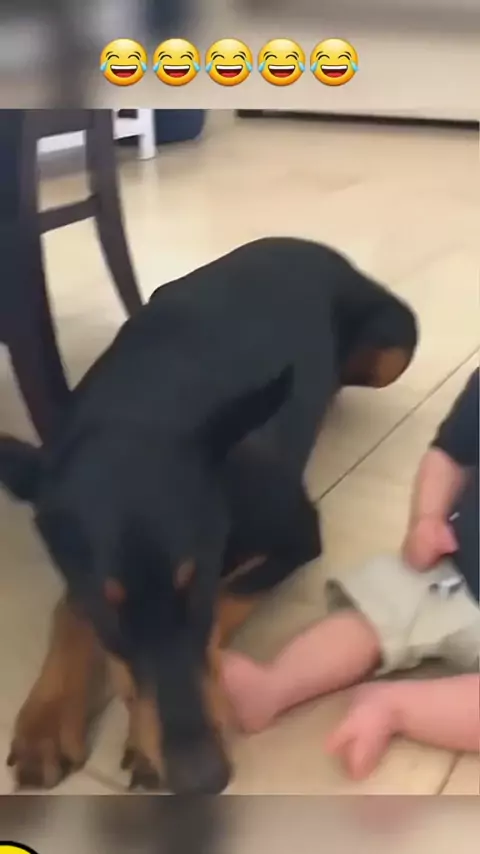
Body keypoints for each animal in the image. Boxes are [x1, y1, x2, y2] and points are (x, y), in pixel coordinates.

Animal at [0, 237, 418, 794]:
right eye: (110, 609)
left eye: (195, 586)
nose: (204, 778)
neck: (134, 411)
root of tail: (306, 243)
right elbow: (70, 610)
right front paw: (45, 720)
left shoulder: (296, 531)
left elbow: (227, 598)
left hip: (393, 343)